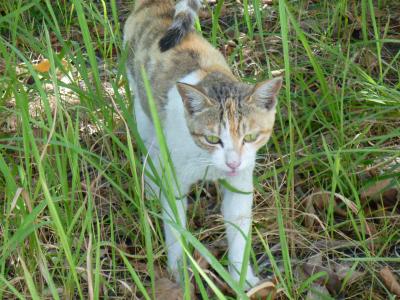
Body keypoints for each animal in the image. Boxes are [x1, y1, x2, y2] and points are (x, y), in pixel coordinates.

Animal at [122, 0, 282, 290]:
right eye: (212, 139)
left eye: (250, 137)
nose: (232, 162)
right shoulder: (175, 180)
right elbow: (175, 226)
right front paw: (180, 272)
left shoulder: (241, 183)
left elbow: (238, 228)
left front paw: (242, 279)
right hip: (143, 111)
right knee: (150, 149)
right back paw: (150, 189)